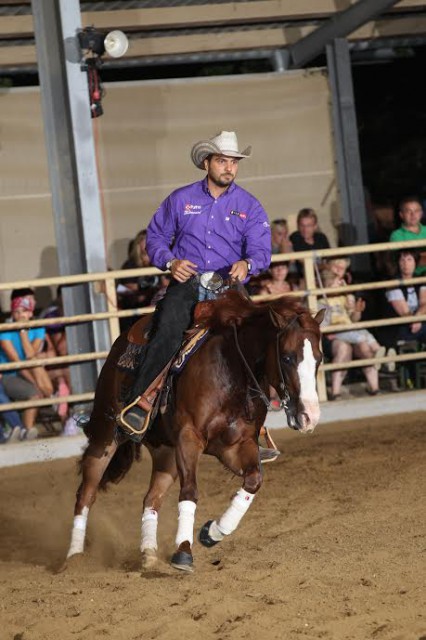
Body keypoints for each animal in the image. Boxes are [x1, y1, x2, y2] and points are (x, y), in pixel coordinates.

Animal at [66, 292, 322, 572]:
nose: (310, 416)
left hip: (166, 453)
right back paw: (74, 557)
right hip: (106, 435)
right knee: (85, 494)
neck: (231, 372)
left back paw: (148, 553)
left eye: (319, 358)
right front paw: (183, 552)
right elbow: (190, 491)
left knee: (151, 499)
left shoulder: (234, 445)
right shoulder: (189, 438)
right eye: (287, 357)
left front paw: (212, 532)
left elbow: (253, 481)